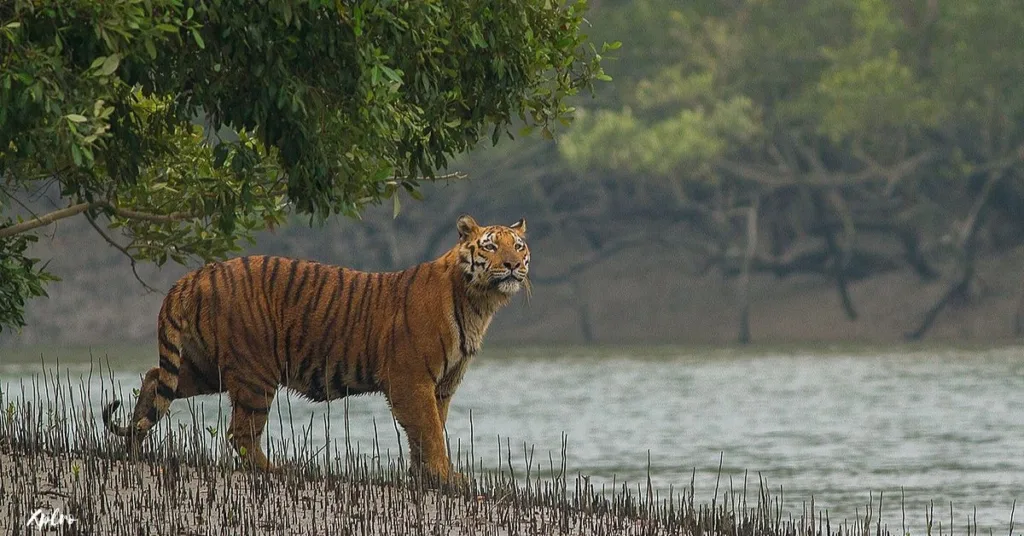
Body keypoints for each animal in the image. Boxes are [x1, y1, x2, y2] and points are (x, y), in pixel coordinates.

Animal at [100, 216, 532, 483]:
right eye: (490, 247)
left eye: (519, 246)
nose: (513, 265)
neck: (479, 302)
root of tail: (194, 275)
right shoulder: (412, 380)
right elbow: (429, 431)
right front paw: (446, 477)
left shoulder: (442, 385)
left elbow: (428, 432)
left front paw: (426, 477)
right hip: (255, 373)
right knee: (240, 433)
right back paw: (277, 471)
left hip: (207, 368)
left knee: (154, 379)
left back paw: (133, 446)